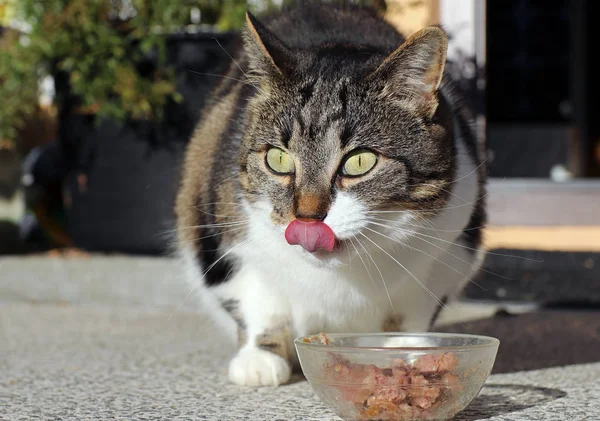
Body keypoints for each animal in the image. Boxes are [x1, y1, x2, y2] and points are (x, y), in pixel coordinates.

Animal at [176, 1, 486, 388]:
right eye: (278, 158)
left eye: (359, 161)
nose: (307, 216)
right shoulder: (229, 238)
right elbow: (259, 299)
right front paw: (259, 358)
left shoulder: (449, 253)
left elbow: (412, 310)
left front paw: (407, 350)